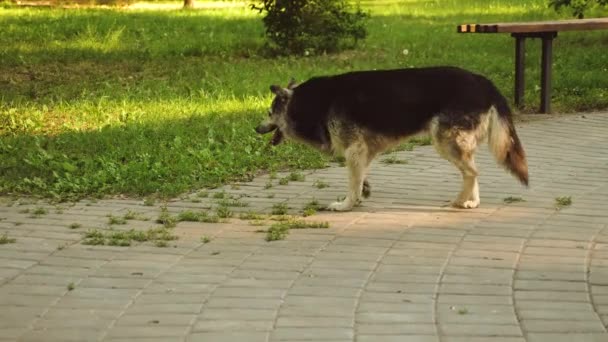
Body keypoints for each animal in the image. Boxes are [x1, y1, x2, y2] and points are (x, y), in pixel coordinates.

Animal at [255, 66, 528, 211]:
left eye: (269, 112)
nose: (256, 129)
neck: (309, 104)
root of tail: (483, 81)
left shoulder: (354, 149)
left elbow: (352, 182)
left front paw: (346, 205)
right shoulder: (363, 151)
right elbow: (360, 176)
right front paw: (363, 191)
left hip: (444, 140)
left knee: (472, 172)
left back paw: (461, 200)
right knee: (472, 171)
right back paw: (473, 201)